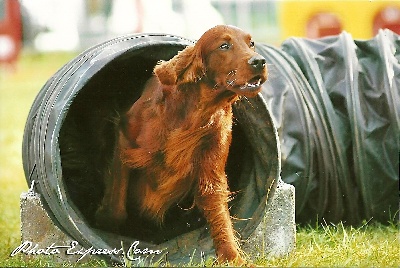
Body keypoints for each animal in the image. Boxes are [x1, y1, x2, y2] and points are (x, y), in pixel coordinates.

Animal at [95, 25, 268, 266]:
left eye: (251, 44)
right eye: (224, 45)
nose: (259, 61)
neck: (196, 111)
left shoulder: (212, 168)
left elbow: (218, 210)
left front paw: (232, 258)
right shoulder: (124, 137)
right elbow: (117, 204)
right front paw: (106, 227)